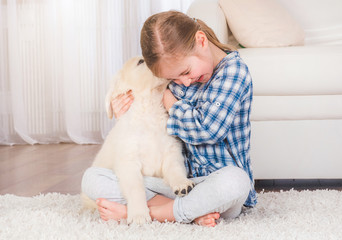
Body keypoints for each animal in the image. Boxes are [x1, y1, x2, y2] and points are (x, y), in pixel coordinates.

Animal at [82, 56, 194, 225]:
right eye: (141, 62)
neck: (149, 111)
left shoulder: (171, 153)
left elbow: (176, 170)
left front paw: (182, 184)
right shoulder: (128, 162)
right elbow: (136, 188)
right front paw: (139, 215)